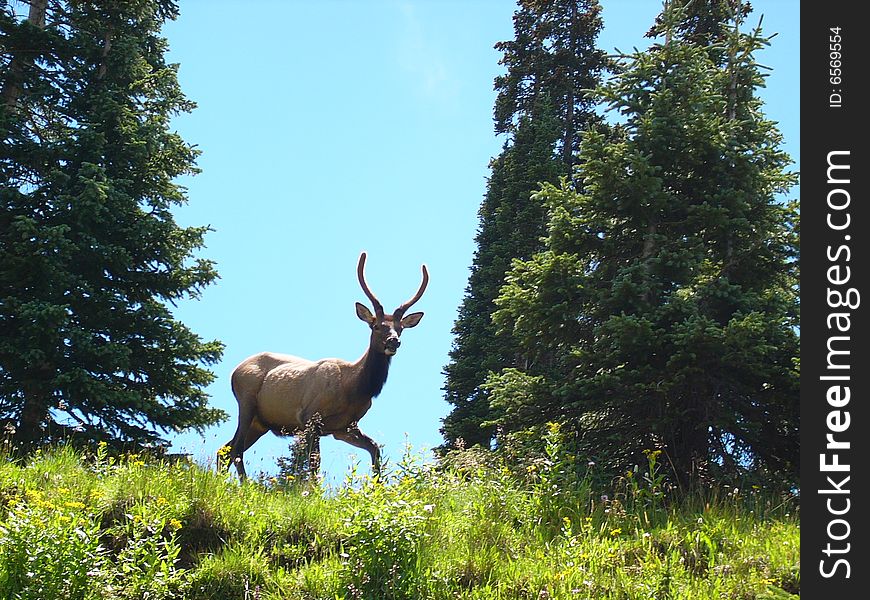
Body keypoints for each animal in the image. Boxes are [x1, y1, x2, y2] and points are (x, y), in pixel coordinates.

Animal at [221, 251, 430, 480]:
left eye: (400, 328)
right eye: (376, 326)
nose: (393, 341)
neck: (355, 388)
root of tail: (234, 372)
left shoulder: (345, 427)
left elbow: (375, 448)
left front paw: (377, 485)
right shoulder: (310, 418)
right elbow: (314, 464)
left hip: (260, 423)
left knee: (224, 450)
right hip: (246, 402)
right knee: (235, 449)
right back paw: (244, 484)